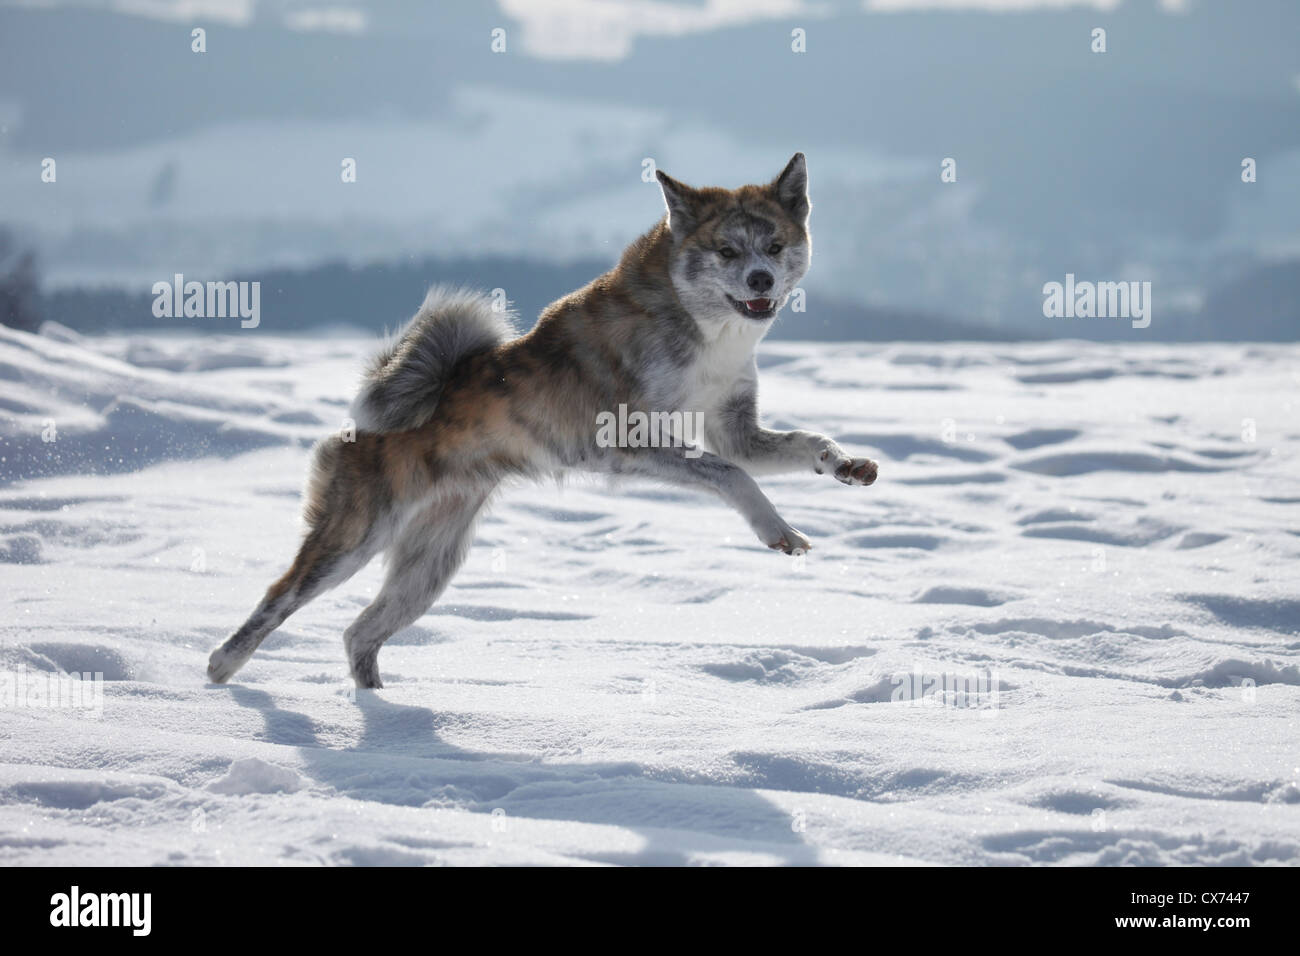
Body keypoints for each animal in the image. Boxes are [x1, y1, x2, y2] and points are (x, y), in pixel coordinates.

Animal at [210, 155, 883, 686]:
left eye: (775, 246)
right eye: (726, 251)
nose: (761, 279)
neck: (704, 331)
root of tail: (361, 428)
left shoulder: (734, 428)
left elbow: (801, 443)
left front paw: (847, 465)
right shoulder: (629, 443)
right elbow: (732, 477)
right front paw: (778, 530)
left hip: (429, 568)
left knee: (359, 633)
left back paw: (385, 718)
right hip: (353, 540)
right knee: (278, 599)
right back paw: (222, 672)